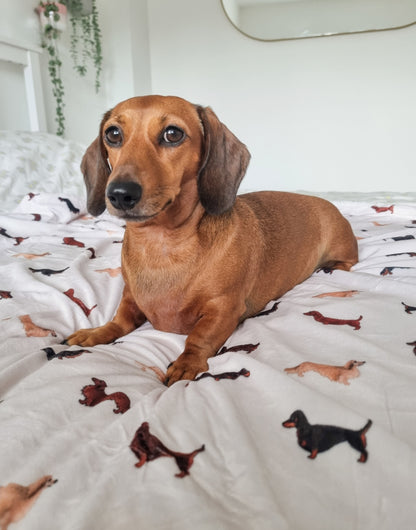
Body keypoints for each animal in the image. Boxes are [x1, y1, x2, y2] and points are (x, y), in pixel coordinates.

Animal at [66, 95, 360, 384]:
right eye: (113, 134)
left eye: (172, 134)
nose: (119, 194)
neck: (161, 244)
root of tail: (325, 203)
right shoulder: (130, 297)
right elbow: (120, 320)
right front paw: (96, 332)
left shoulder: (223, 309)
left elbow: (200, 337)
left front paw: (187, 363)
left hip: (342, 249)